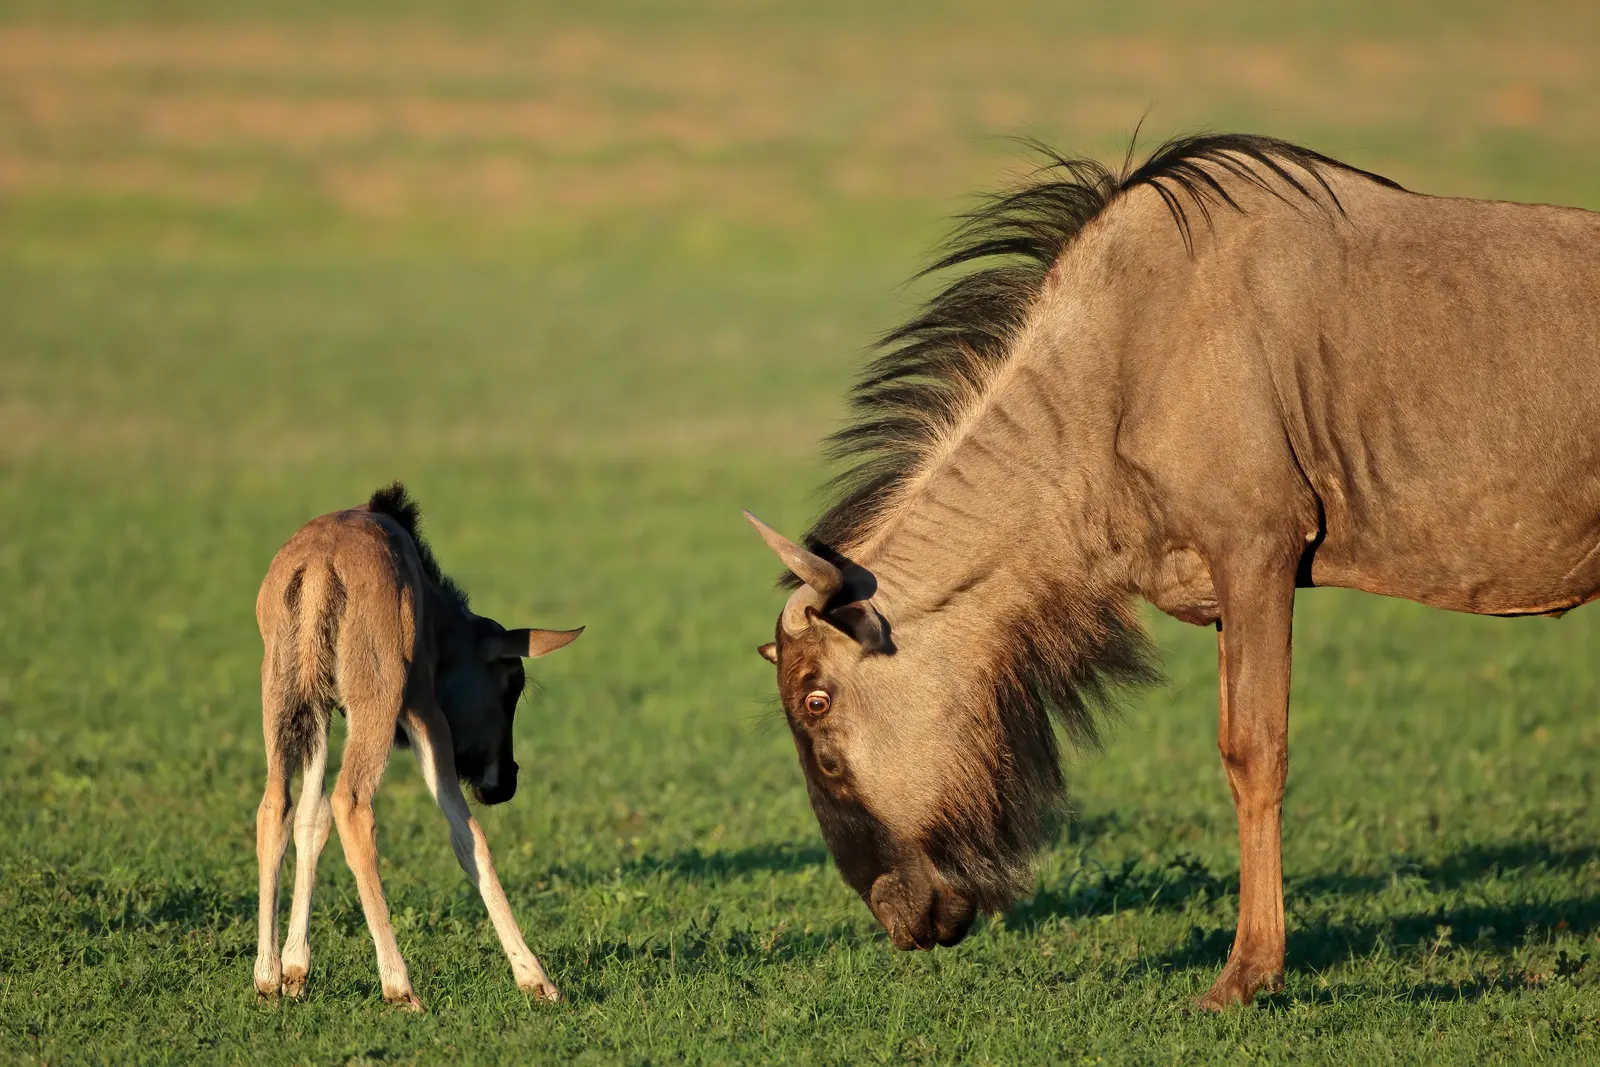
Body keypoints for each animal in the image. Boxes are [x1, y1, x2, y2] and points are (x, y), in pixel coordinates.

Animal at [252, 483, 582, 1010]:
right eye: (512, 684)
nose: (504, 782)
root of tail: (320, 565)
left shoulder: (324, 713)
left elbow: (310, 819)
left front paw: (295, 969)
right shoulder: (424, 707)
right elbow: (468, 837)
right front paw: (535, 978)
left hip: (285, 699)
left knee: (275, 807)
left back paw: (266, 976)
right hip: (378, 700)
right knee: (351, 804)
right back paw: (399, 986)